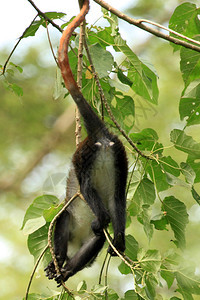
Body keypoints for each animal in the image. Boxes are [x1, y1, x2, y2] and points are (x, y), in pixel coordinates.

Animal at [44, 0, 127, 286]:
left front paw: (56, 263)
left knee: (78, 208)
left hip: (85, 154)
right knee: (116, 200)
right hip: (120, 158)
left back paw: (61, 264)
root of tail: (100, 135)